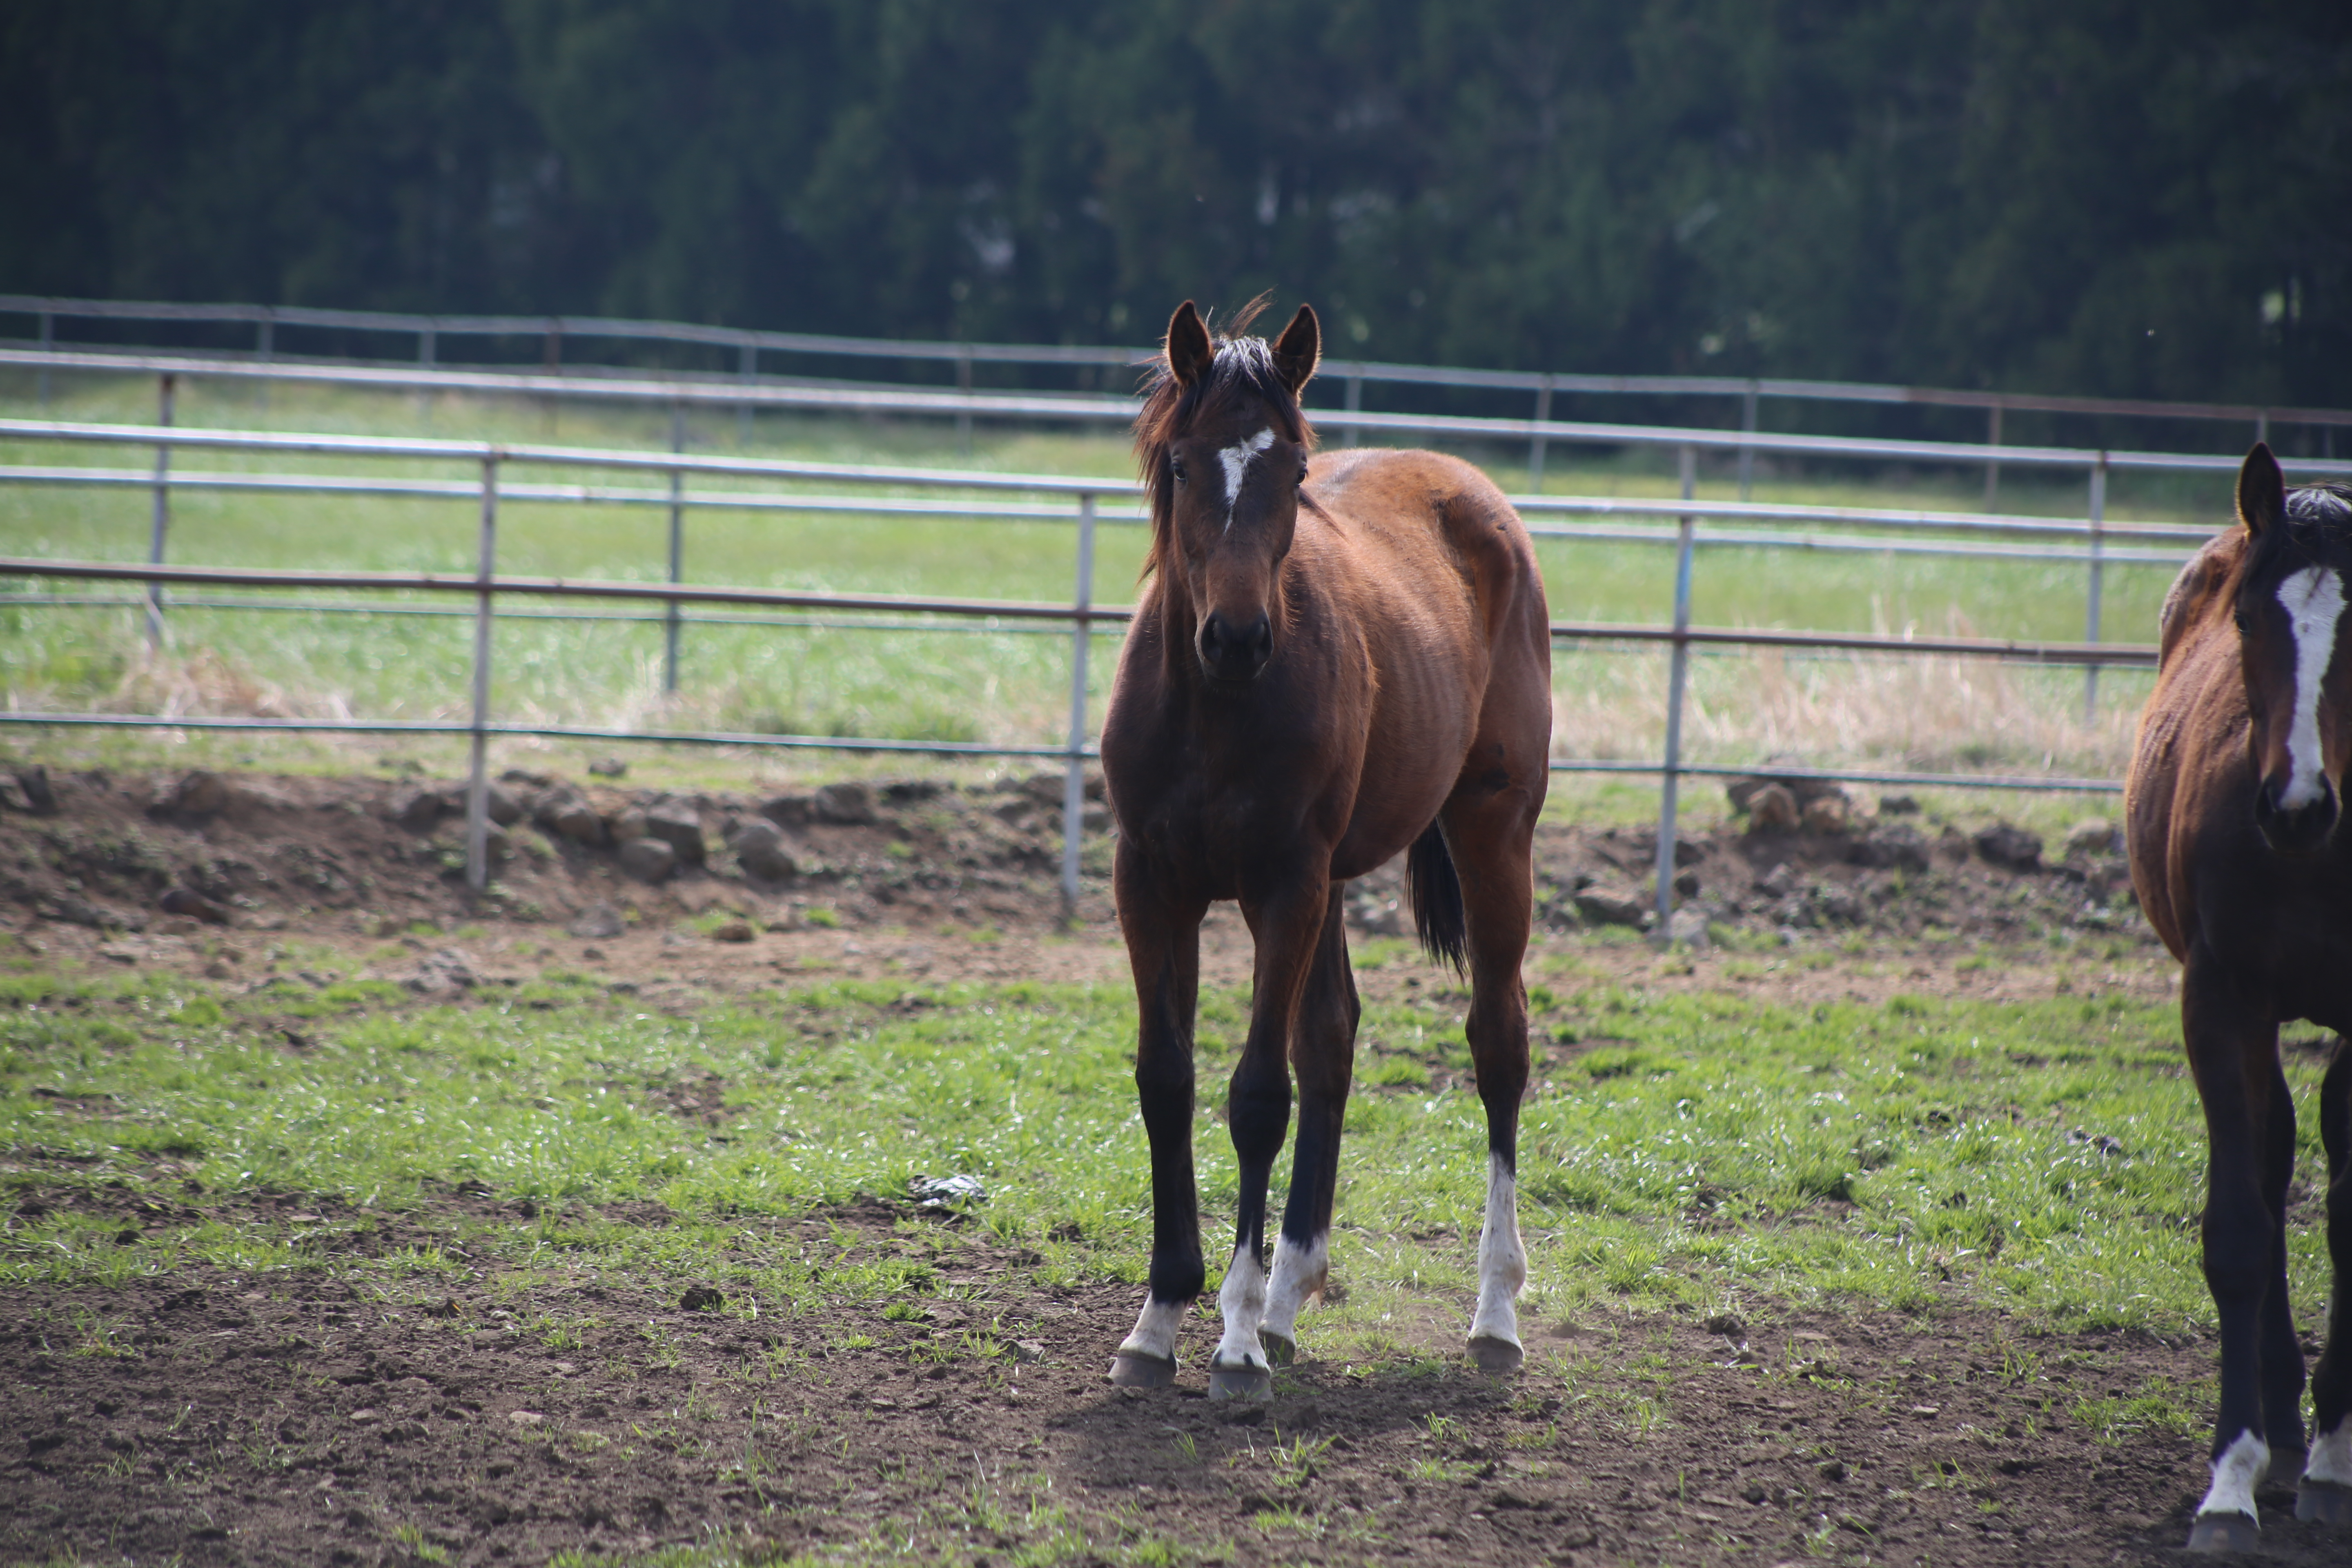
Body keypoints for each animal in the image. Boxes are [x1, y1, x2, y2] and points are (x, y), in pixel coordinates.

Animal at [1096, 301, 1552, 1401]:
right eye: (1182, 462)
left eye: (1294, 468)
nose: (1235, 637)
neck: (1213, 710)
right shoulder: (1151, 883)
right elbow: (1166, 1078)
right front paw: (1159, 1317)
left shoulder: (1283, 885)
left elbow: (1258, 1095)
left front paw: (1231, 1340)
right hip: (1336, 881)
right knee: (1335, 1036)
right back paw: (1290, 1297)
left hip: (1491, 835)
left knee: (1498, 1042)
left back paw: (1492, 1314)